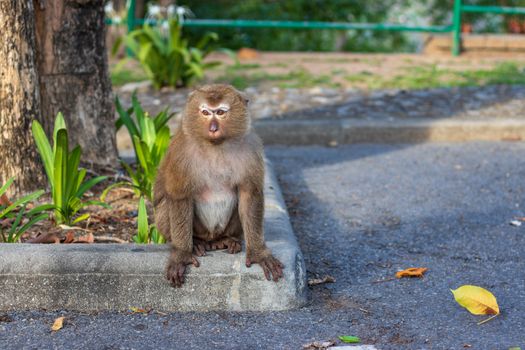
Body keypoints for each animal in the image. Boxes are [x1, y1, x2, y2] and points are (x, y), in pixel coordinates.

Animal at [152, 83, 282, 286]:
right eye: (205, 112)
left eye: (220, 112)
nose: (213, 128)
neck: (216, 145)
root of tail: (211, 238)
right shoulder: (182, 151)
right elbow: (180, 196)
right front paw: (181, 254)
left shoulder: (251, 147)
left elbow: (249, 194)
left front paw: (258, 252)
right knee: (168, 204)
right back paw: (197, 242)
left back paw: (226, 239)